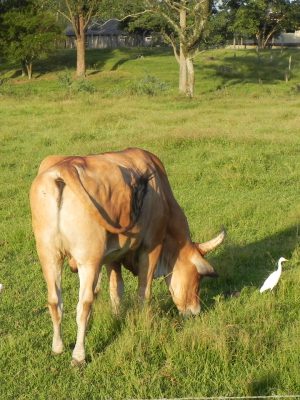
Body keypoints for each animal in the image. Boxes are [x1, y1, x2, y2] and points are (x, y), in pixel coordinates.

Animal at [29, 148, 225, 366]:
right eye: (198, 277)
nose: (195, 311)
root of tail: (66, 167)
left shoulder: (112, 257)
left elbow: (115, 290)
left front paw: (116, 317)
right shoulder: (151, 246)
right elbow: (144, 291)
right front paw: (144, 322)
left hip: (49, 255)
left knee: (55, 301)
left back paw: (57, 347)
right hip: (88, 261)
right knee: (84, 304)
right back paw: (78, 355)